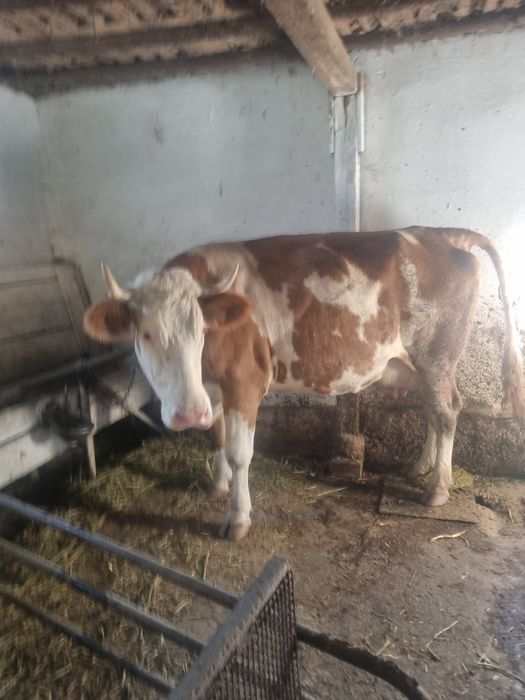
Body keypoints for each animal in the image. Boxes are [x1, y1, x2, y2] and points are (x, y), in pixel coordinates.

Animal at [84, 227, 525, 540]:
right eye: (145, 335)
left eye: (202, 331)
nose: (187, 414)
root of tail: (441, 234)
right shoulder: (211, 390)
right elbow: (217, 437)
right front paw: (217, 485)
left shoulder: (244, 382)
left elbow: (240, 453)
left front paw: (237, 518)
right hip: (418, 364)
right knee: (433, 410)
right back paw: (420, 467)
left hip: (437, 354)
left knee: (448, 410)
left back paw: (437, 488)